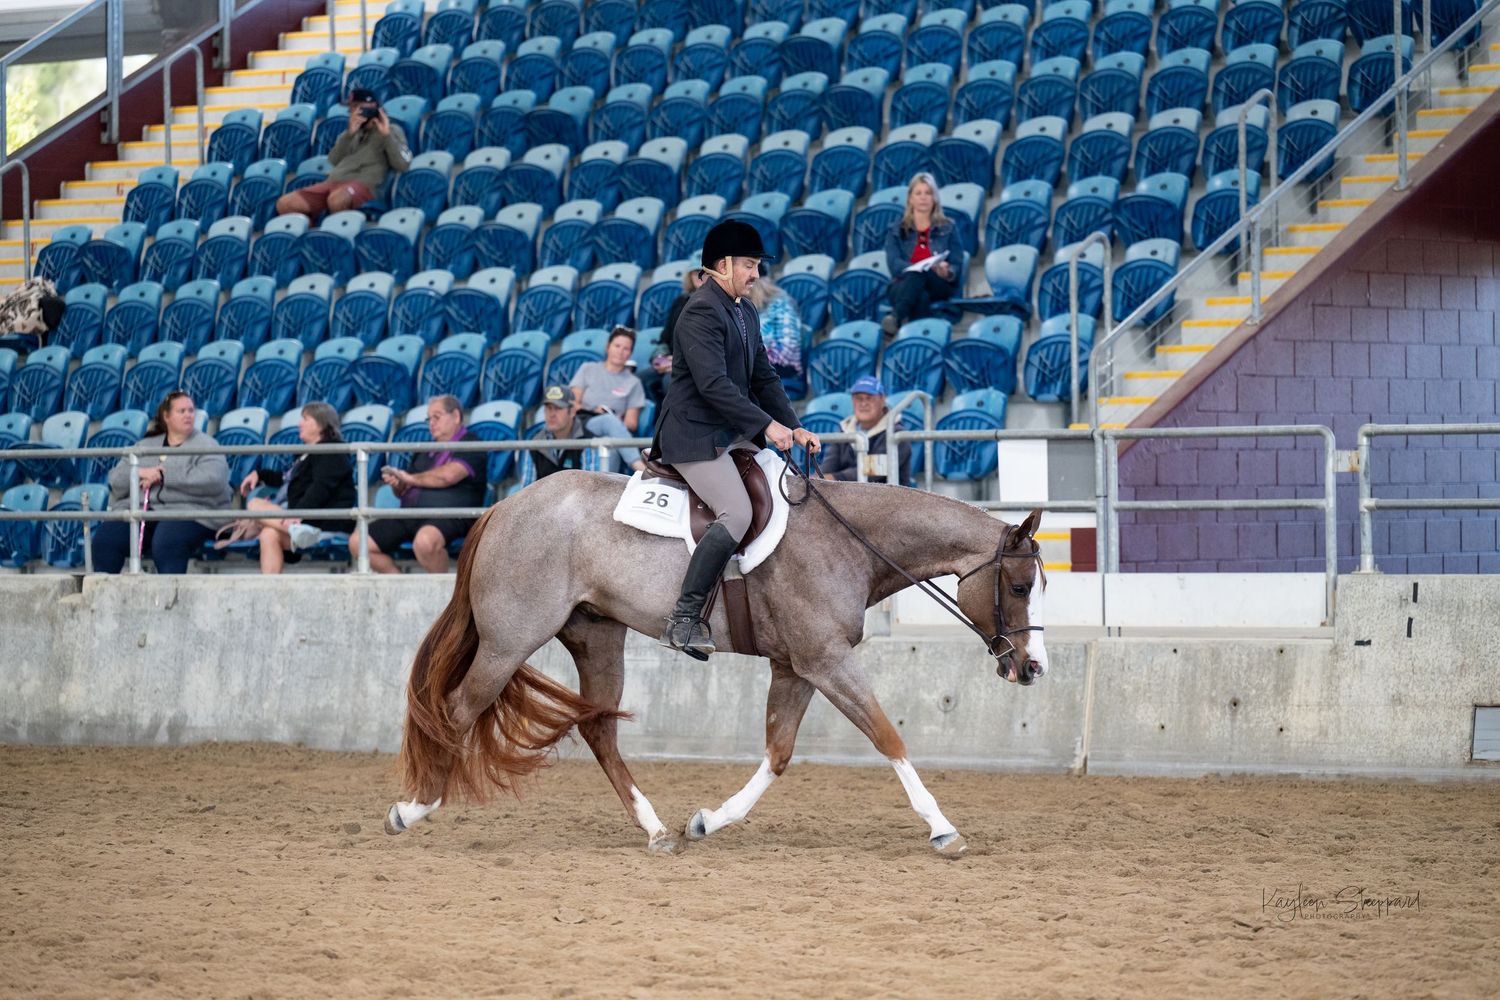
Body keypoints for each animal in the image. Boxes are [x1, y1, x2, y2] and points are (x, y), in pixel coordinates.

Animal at [384, 467, 1048, 856]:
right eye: (1018, 587)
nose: (1032, 669)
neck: (847, 542)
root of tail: (505, 507)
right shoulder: (827, 660)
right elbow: (888, 737)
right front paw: (942, 828)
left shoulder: (797, 666)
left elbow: (779, 753)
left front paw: (709, 820)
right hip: (509, 640)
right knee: (458, 708)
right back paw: (412, 809)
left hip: (597, 637)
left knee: (598, 728)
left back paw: (655, 830)